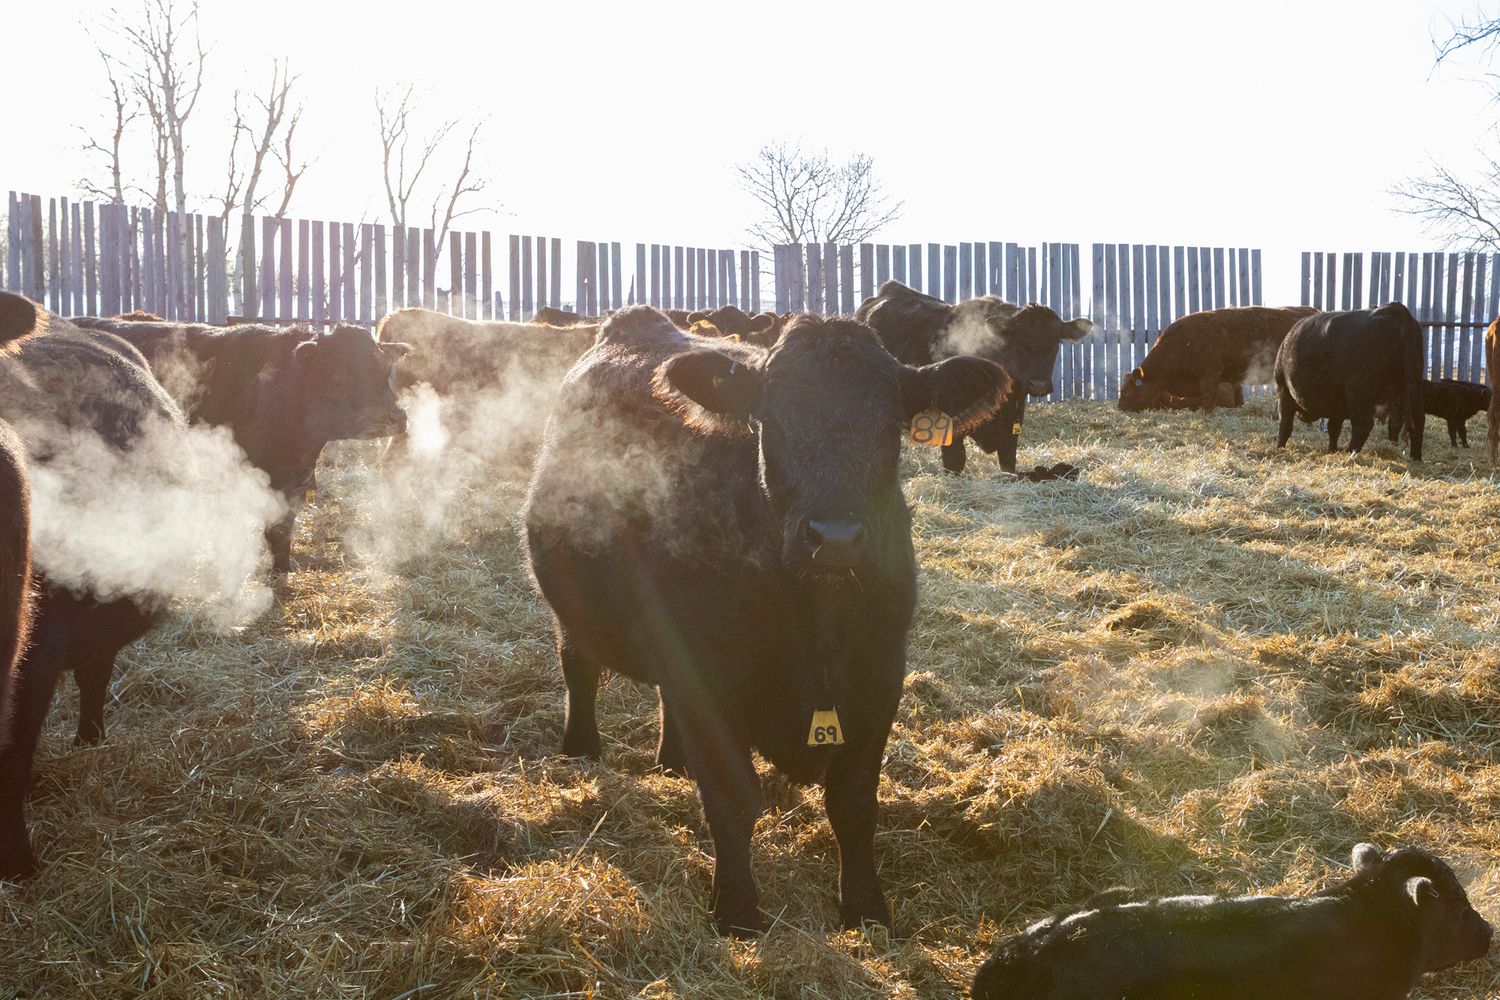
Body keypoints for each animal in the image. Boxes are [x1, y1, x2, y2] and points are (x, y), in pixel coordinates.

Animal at [70, 317, 410, 572]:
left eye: (385, 371)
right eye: (340, 376)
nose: (396, 417)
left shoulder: (294, 479)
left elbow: (283, 526)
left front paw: (282, 569)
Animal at [524, 306, 1008, 935]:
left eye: (890, 427)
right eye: (771, 422)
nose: (836, 538)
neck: (816, 622)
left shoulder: (880, 676)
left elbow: (854, 803)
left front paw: (866, 908)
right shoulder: (712, 679)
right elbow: (731, 801)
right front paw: (736, 909)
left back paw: (673, 760)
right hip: (574, 604)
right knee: (577, 667)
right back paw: (581, 749)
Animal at [853, 281, 1090, 475]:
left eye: (1056, 341)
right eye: (1018, 341)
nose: (1038, 384)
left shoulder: (1012, 427)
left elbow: (1008, 464)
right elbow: (955, 462)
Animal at [1274, 303, 1424, 459]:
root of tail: (1393, 308)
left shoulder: (1283, 391)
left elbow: (1285, 425)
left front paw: (1279, 448)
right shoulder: (1338, 405)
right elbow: (1333, 428)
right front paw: (1332, 450)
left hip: (1359, 393)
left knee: (1363, 425)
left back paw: (1350, 452)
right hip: (1415, 389)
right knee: (1418, 422)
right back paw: (1416, 457)